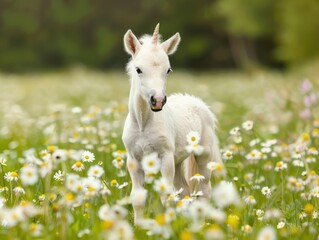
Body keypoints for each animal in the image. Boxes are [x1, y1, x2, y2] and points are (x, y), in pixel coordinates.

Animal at [122, 23, 225, 223]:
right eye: (138, 69)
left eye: (168, 70)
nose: (158, 101)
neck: (143, 124)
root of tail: (199, 104)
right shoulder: (134, 160)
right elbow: (138, 198)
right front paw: (139, 226)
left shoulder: (165, 158)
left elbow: (167, 197)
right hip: (178, 161)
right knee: (184, 190)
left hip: (203, 155)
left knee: (204, 189)